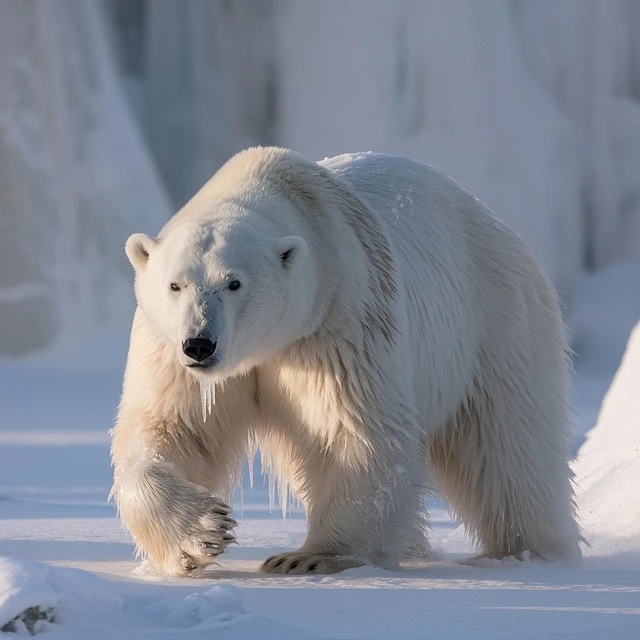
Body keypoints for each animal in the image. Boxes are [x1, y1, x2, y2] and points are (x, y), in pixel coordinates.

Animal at [110, 147, 582, 576]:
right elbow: (172, 429)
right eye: (175, 284)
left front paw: (310, 557)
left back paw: (524, 552)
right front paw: (202, 532)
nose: (200, 345)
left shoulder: (338, 319)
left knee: (509, 448)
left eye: (234, 283)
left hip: (497, 323)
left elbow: (354, 431)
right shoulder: (168, 348)